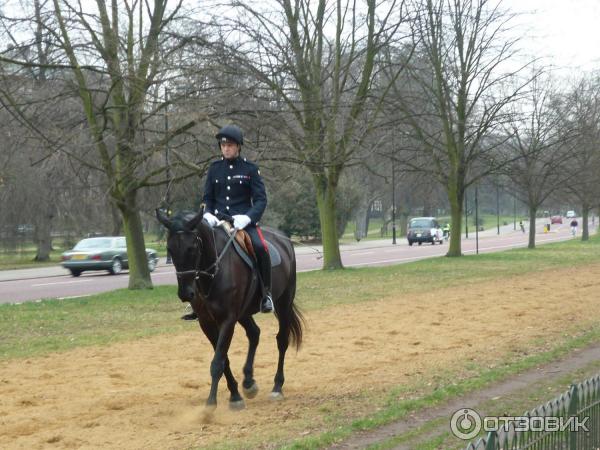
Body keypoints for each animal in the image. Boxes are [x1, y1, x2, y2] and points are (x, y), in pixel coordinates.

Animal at [156, 209, 304, 414]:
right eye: (170, 249)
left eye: (191, 248)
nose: (186, 293)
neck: (213, 274)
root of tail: (284, 239)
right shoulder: (207, 322)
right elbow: (223, 358)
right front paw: (234, 394)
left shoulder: (227, 320)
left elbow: (218, 361)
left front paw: (212, 403)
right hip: (243, 313)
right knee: (254, 333)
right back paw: (249, 382)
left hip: (283, 303)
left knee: (281, 340)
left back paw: (277, 386)